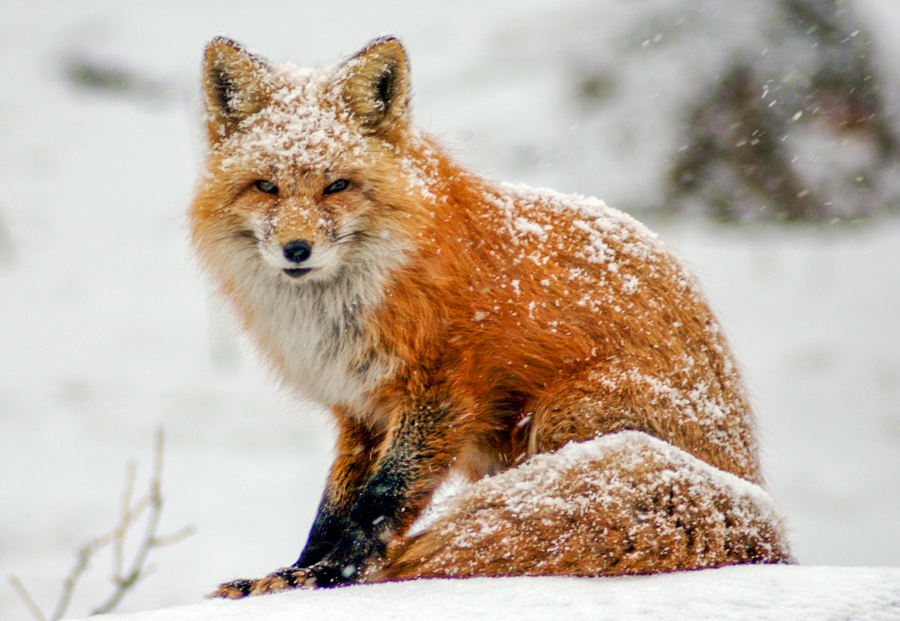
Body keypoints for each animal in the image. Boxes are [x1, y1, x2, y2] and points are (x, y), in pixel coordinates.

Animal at [189, 35, 791, 597]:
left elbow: (378, 504)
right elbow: (332, 509)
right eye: (266, 187)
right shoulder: (359, 410)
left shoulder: (443, 393)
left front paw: (331, 575)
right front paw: (294, 573)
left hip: (564, 416)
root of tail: (760, 512)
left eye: (337, 186)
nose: (296, 250)